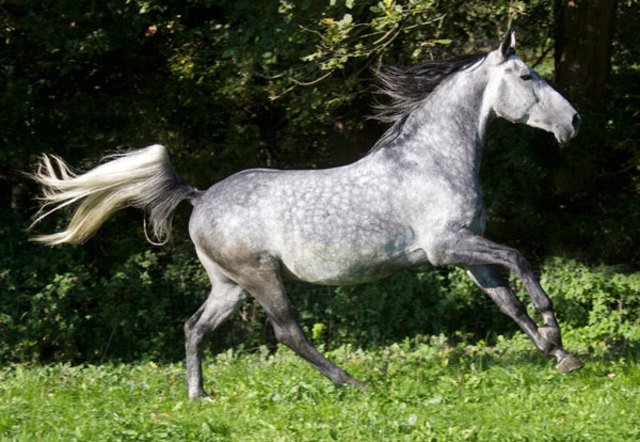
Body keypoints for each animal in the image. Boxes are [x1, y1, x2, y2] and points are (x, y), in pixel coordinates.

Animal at [29, 31, 583, 399]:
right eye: (527, 75)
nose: (575, 121)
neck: (432, 160)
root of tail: (200, 196)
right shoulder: (447, 246)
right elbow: (523, 262)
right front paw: (554, 332)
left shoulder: (467, 252)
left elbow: (507, 302)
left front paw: (561, 356)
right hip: (260, 275)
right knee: (287, 332)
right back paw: (353, 383)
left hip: (229, 285)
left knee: (194, 328)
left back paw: (199, 396)